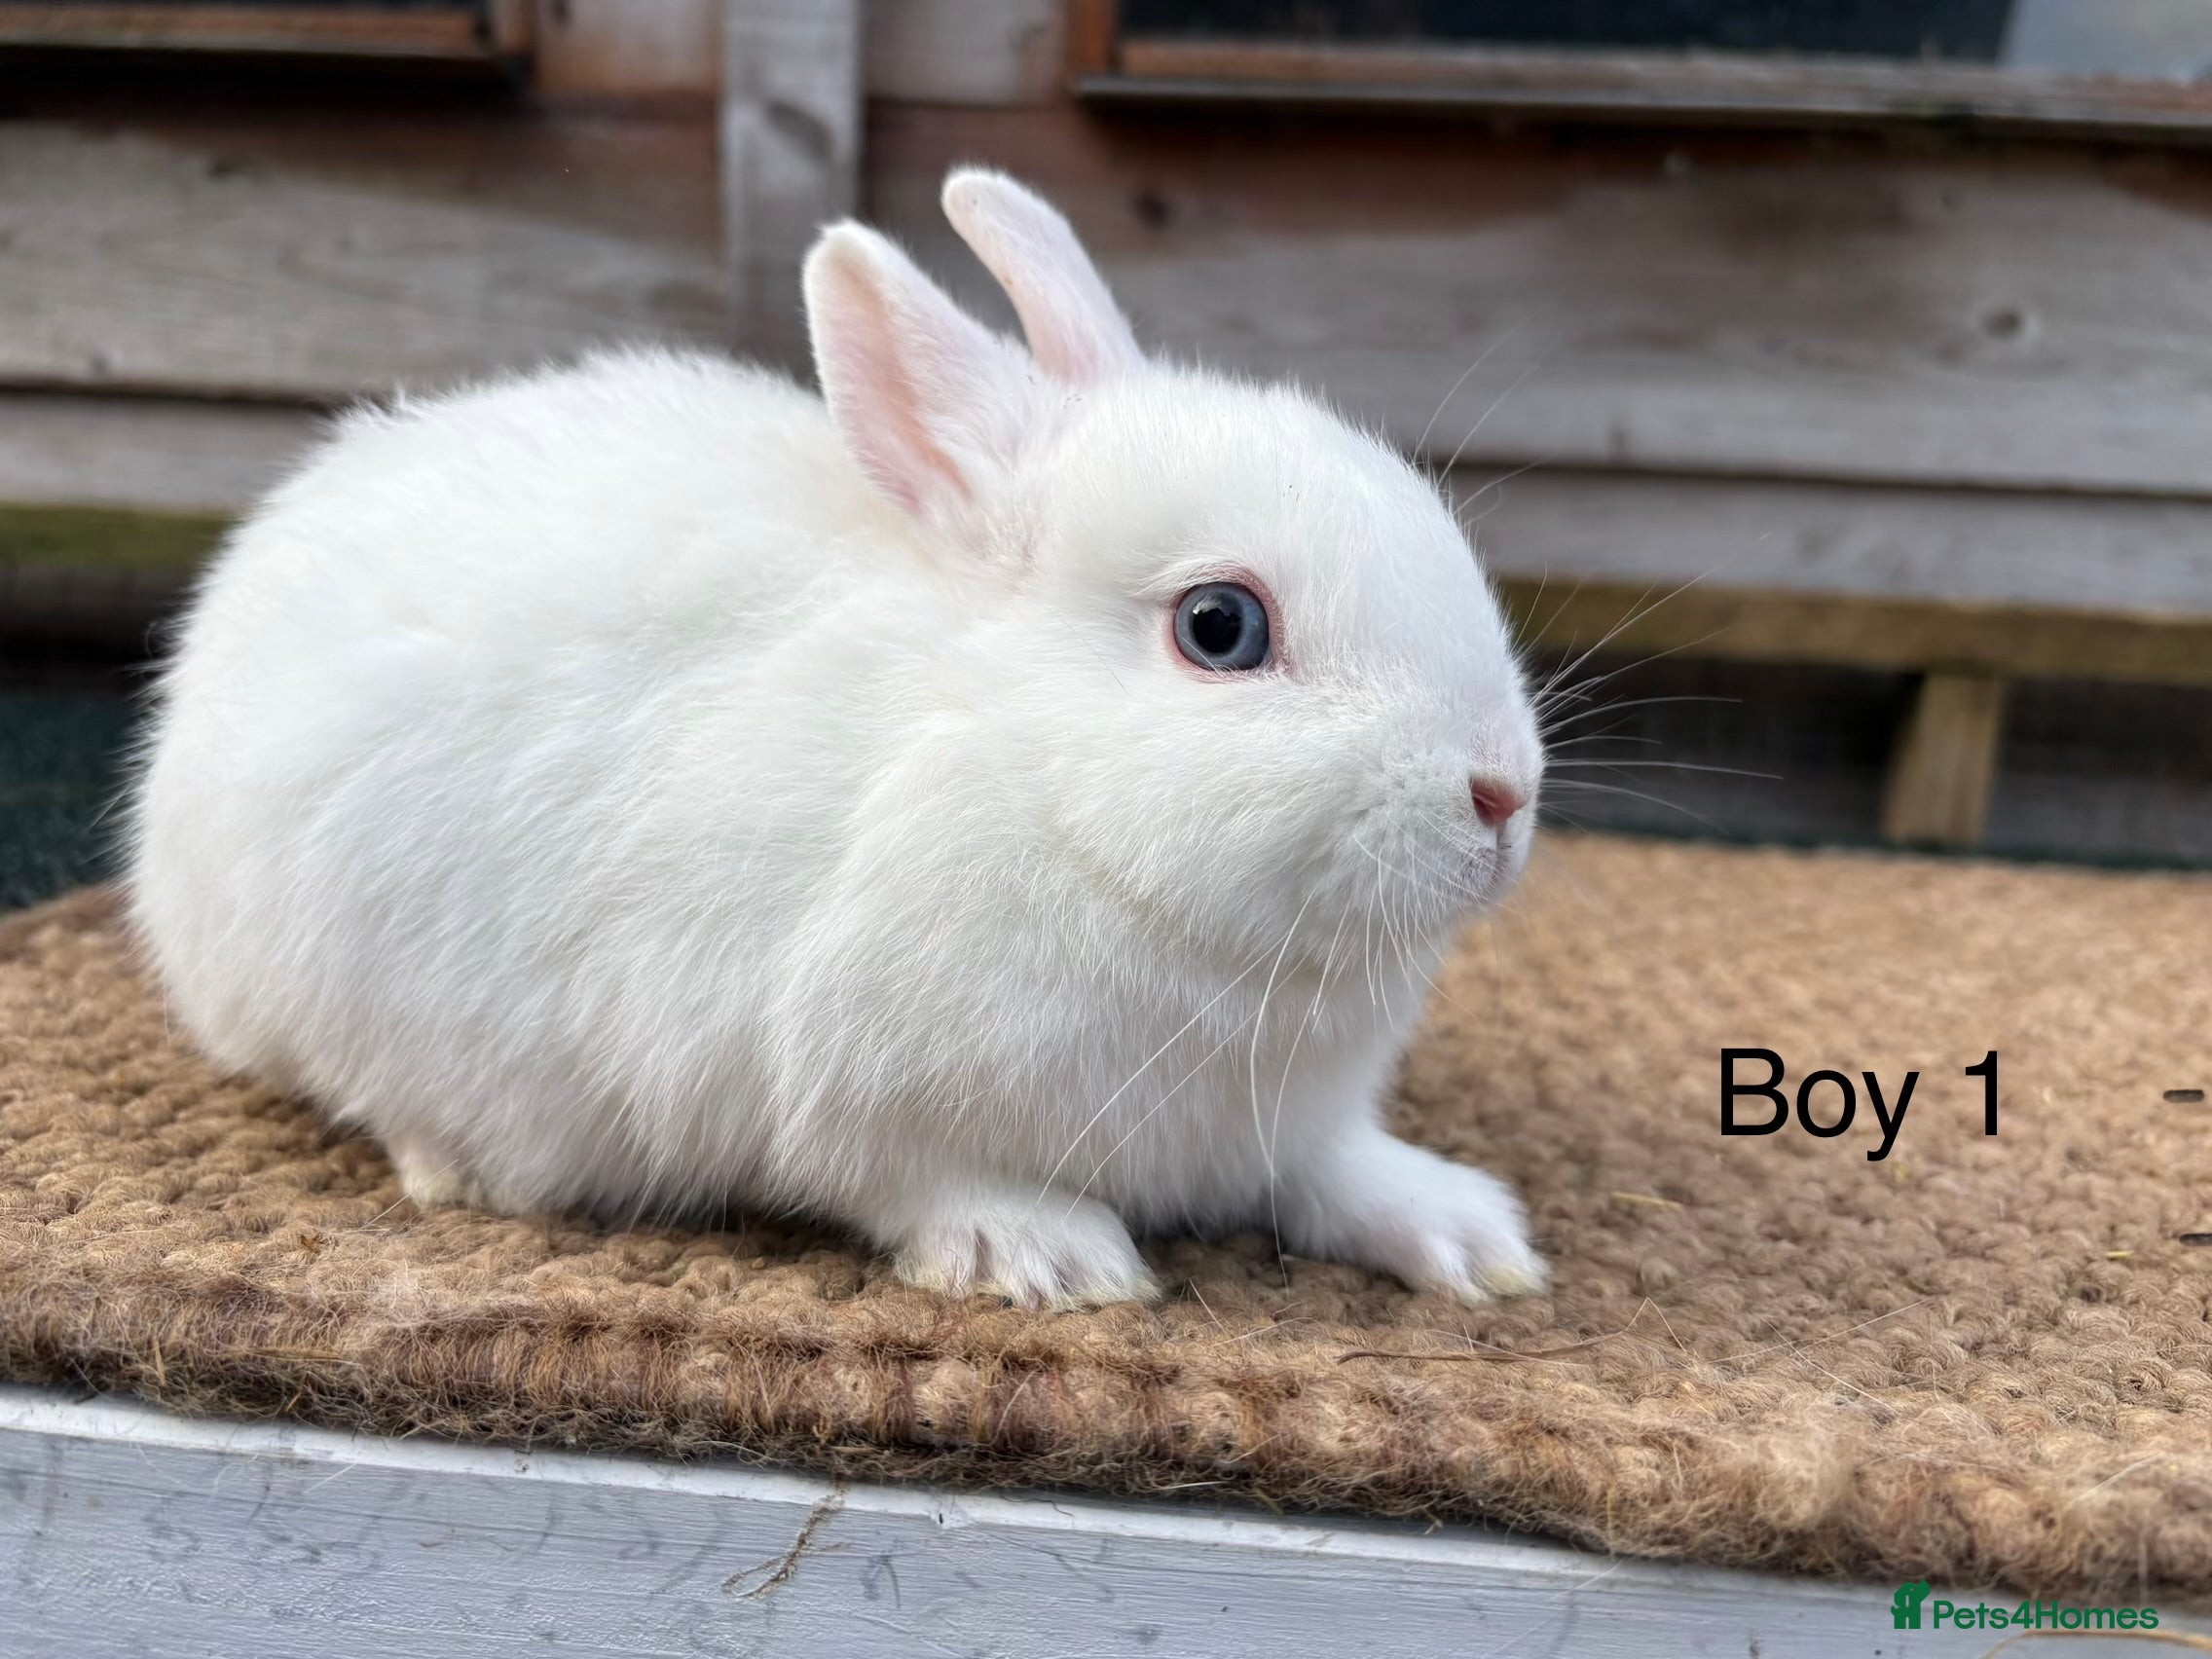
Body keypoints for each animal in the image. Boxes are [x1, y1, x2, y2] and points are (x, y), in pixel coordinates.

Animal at [128, 168, 1548, 1309]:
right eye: (1220, 626)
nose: (1501, 794)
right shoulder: (826, 1087)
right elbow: (915, 1180)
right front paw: (1050, 1260)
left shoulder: (1282, 1128)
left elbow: (1335, 1172)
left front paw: (1474, 1240)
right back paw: (458, 1166)